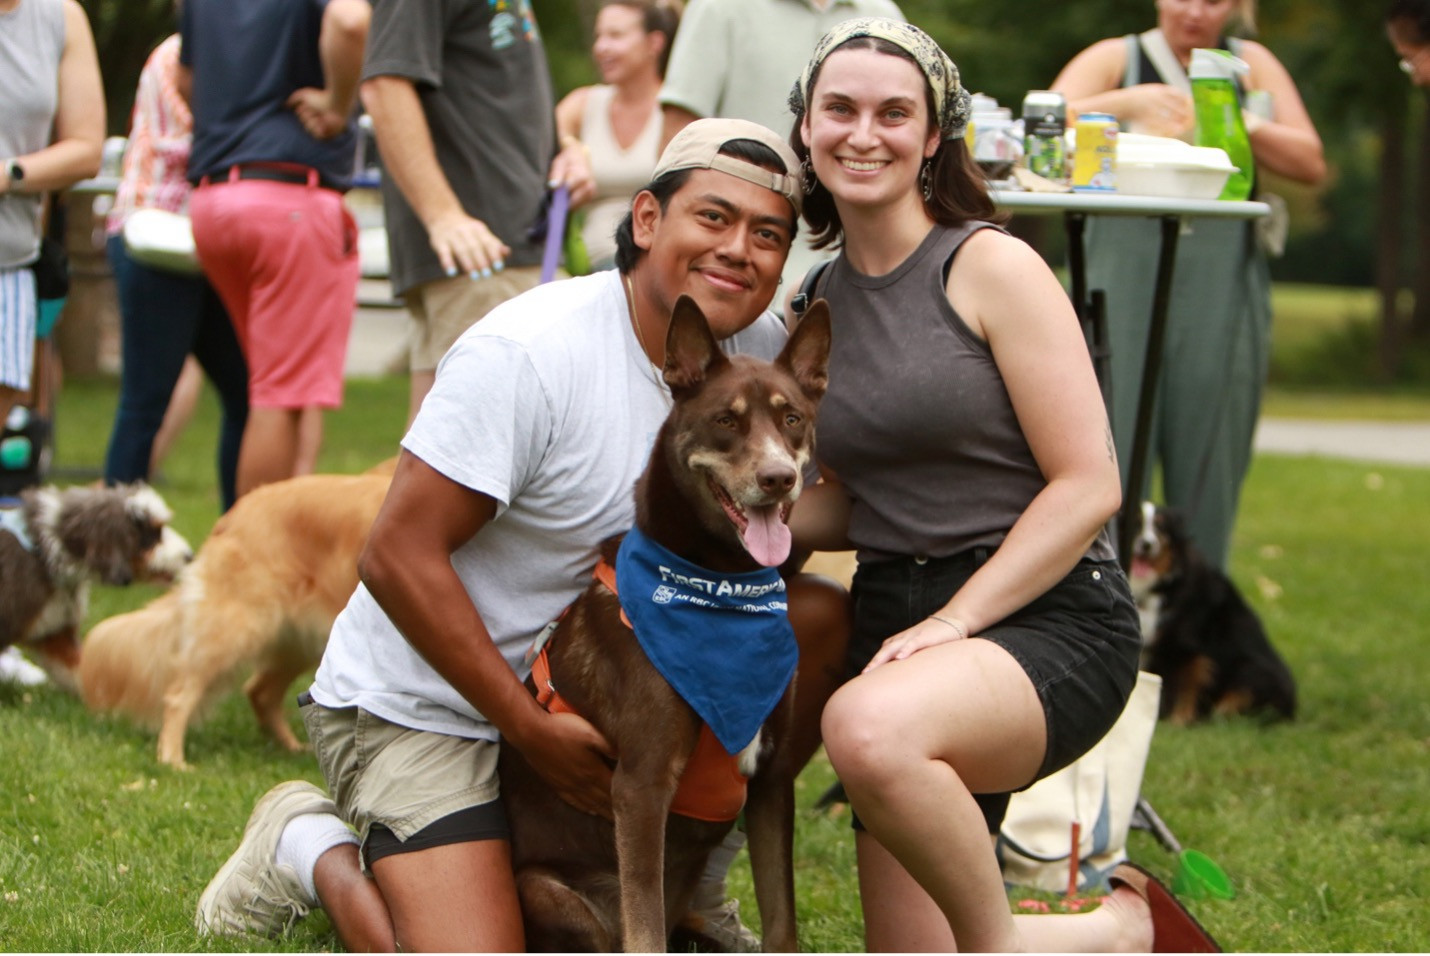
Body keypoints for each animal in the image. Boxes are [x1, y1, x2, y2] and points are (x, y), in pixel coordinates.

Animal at [80, 462, 394, 765]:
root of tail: (235, 513)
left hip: (304, 641)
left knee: (260, 692)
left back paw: (292, 749)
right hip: (236, 630)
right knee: (180, 694)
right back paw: (172, 759)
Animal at [500, 295, 835, 948]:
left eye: (792, 419)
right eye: (726, 421)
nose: (779, 478)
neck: (722, 589)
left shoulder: (771, 779)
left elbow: (782, 918)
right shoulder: (642, 786)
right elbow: (645, 924)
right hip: (545, 893)